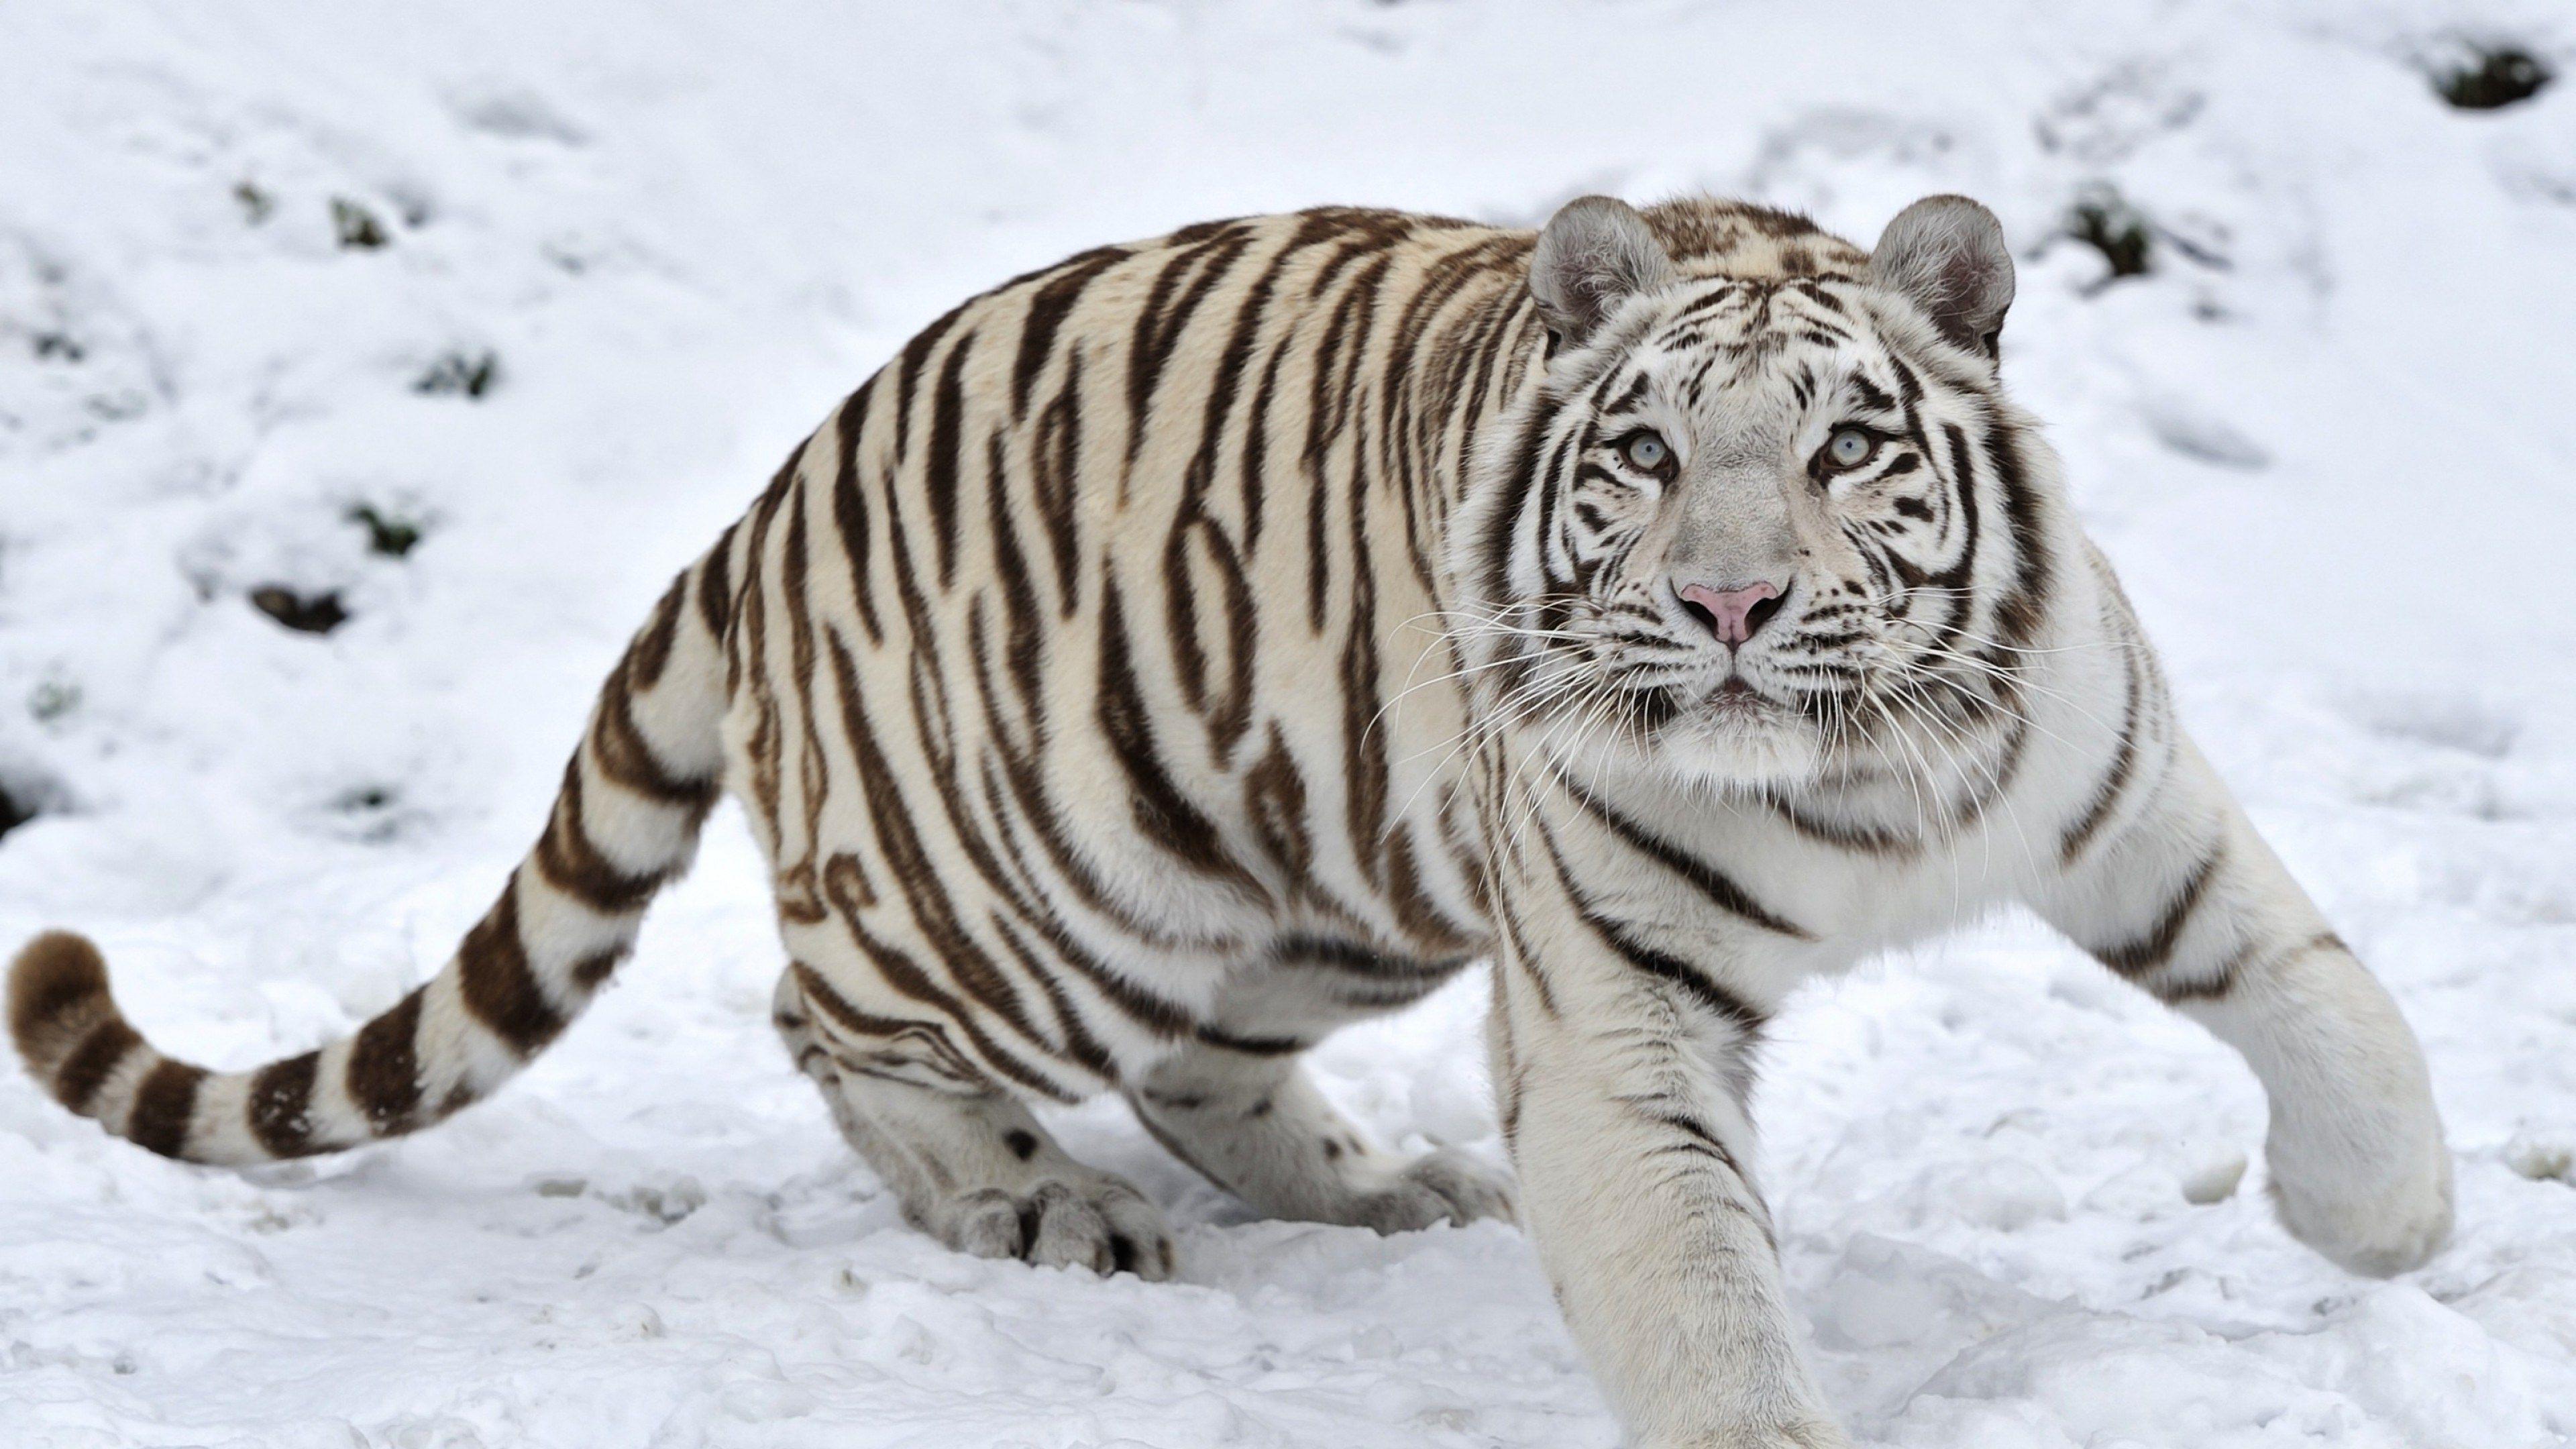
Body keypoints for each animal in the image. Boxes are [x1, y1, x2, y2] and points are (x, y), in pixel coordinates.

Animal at [9, 193, 2453, 1448]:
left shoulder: (2115, 788)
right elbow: (1702, 1298)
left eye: (1848, 448)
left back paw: (1380, 1193)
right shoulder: (1616, 1019)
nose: (1732, 603)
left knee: (1203, 1067)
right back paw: (1037, 1205)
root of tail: (769, 498)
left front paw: (2382, 1233)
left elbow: (2331, 996)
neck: (1851, 774)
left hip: (1316, 877)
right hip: (1029, 885)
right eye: (1650, 456)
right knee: (832, 1014)